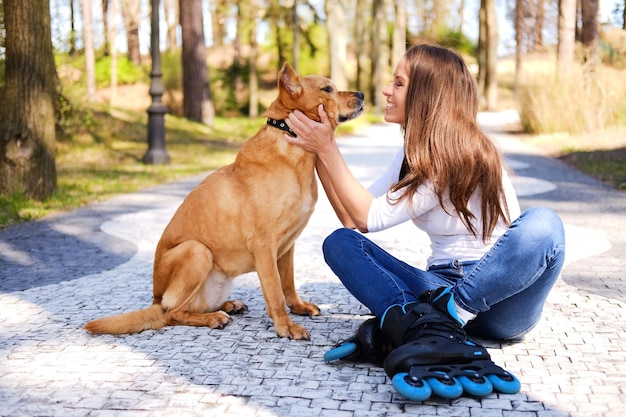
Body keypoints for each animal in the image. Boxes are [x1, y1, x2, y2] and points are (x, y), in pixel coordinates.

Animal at [84, 63, 366, 340]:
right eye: (327, 89)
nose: (362, 94)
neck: (294, 152)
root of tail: (155, 300)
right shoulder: (265, 245)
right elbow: (275, 290)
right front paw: (286, 326)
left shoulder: (288, 246)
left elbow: (288, 284)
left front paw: (298, 307)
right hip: (196, 250)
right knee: (173, 314)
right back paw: (212, 318)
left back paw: (228, 305)